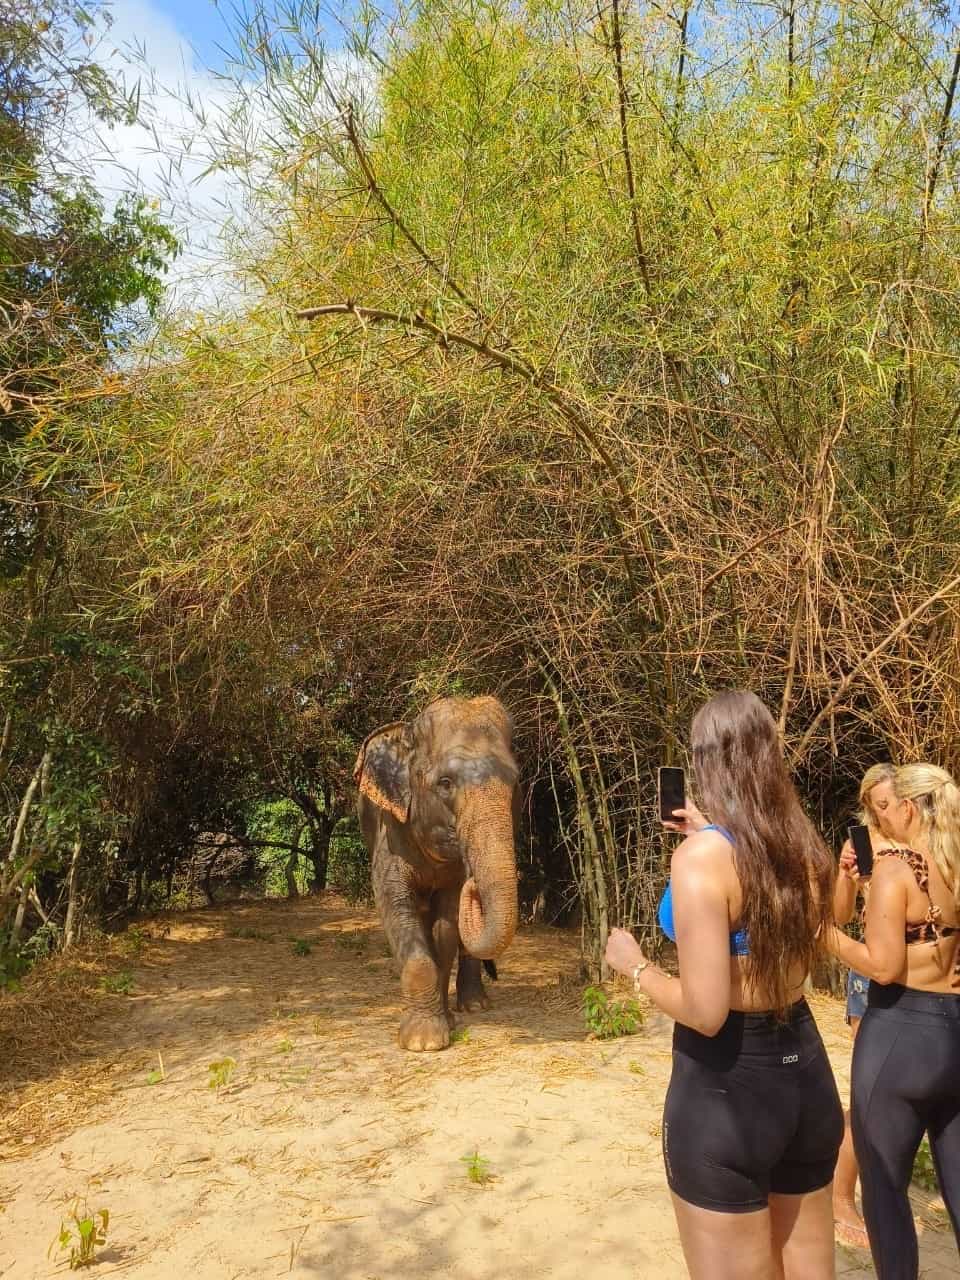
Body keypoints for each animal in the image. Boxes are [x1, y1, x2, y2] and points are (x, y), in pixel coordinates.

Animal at [353, 695, 519, 1051]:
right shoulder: (389, 836)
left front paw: (444, 1024)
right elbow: (396, 908)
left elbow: (447, 928)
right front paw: (423, 1041)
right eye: (445, 783)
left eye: (515, 782)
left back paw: (474, 1006)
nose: (473, 881)